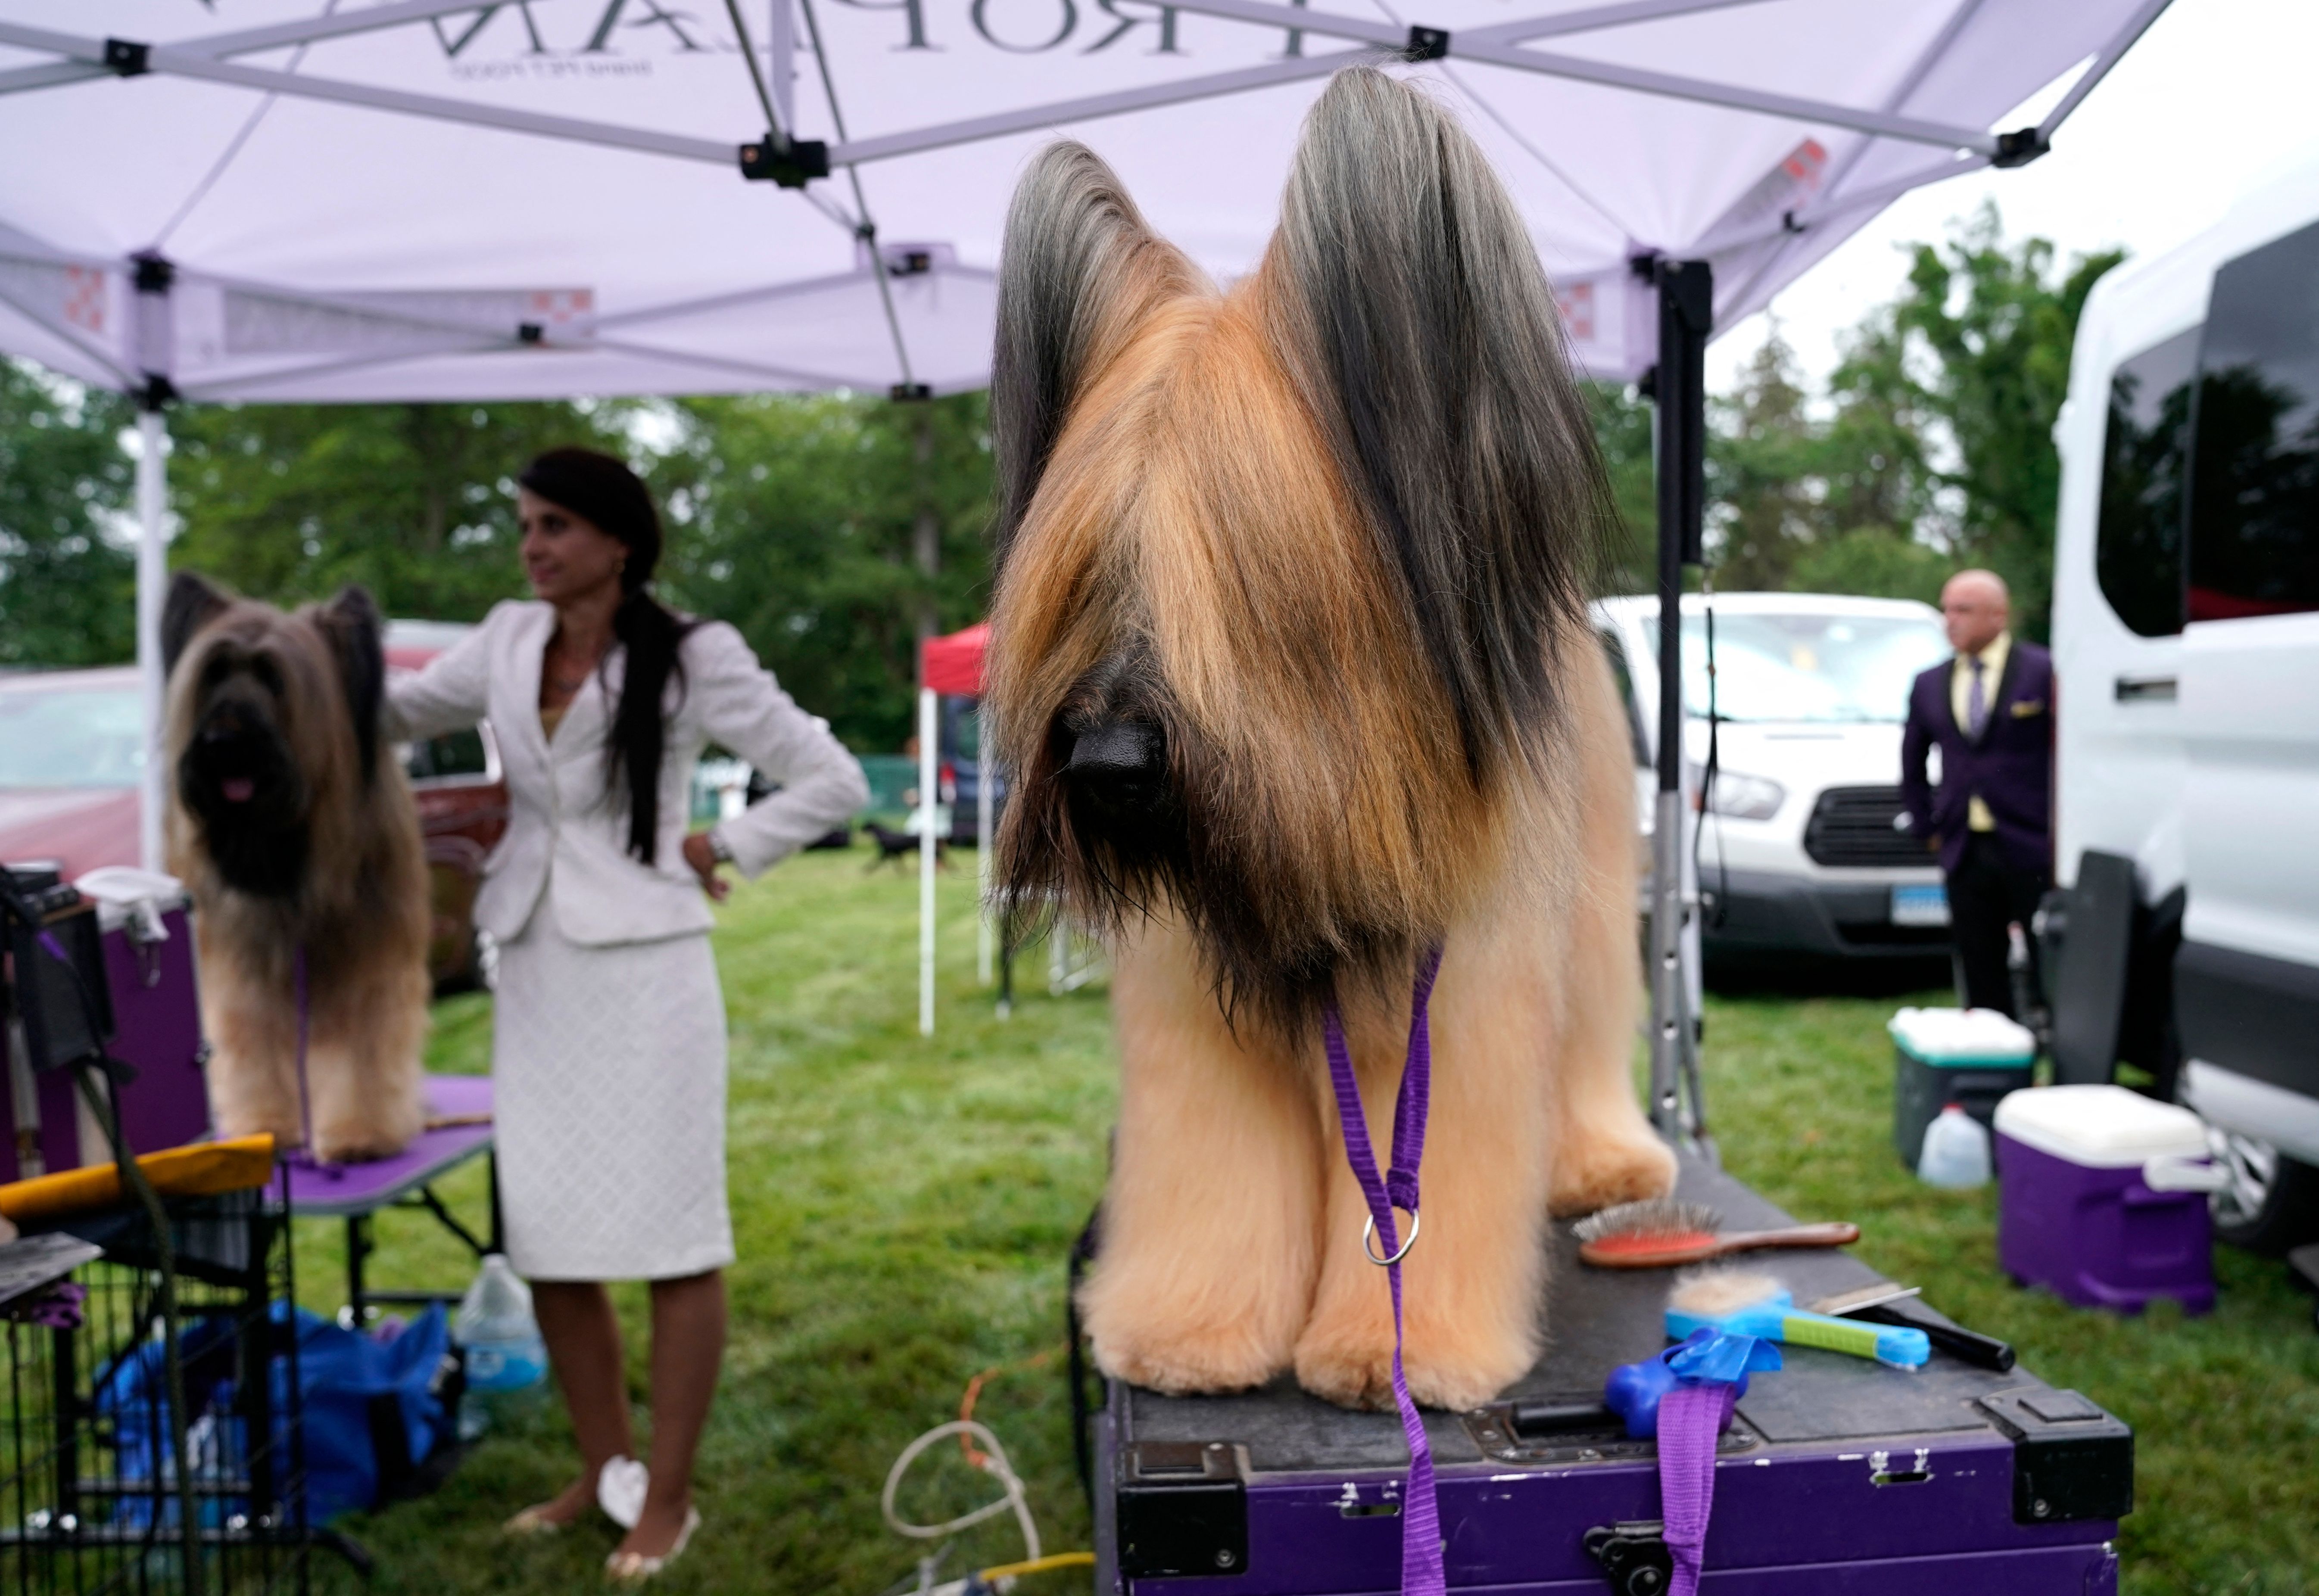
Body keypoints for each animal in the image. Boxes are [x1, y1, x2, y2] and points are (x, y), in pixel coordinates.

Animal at [163, 570, 431, 1160]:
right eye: (214, 674)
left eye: (274, 678)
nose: (221, 742)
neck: (284, 846)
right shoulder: (242, 964)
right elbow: (253, 1042)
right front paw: (266, 1123)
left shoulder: (367, 956)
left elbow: (360, 1045)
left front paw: (359, 1134)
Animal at [988, 65, 1679, 1410]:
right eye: (1094, 567)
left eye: (1241, 576)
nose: (1105, 767)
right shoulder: (1192, 1023)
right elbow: (1211, 1171)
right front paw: (1188, 1331)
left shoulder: (1452, 1002)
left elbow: (1436, 1179)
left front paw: (1396, 1349)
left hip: (1583, 886)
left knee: (1586, 1026)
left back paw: (1601, 1164)